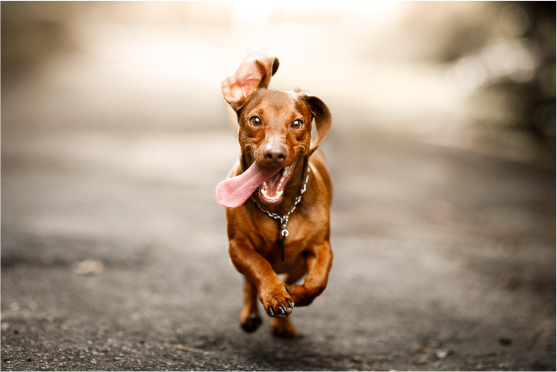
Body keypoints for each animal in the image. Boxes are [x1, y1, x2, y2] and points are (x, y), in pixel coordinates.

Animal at [215, 52, 332, 340]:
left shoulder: (321, 247)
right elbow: (259, 267)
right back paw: (251, 314)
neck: (280, 212)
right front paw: (275, 294)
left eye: (297, 123)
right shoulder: (238, 246)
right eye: (255, 120)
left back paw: (283, 323)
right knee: (249, 282)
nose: (274, 154)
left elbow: (317, 283)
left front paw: (295, 295)